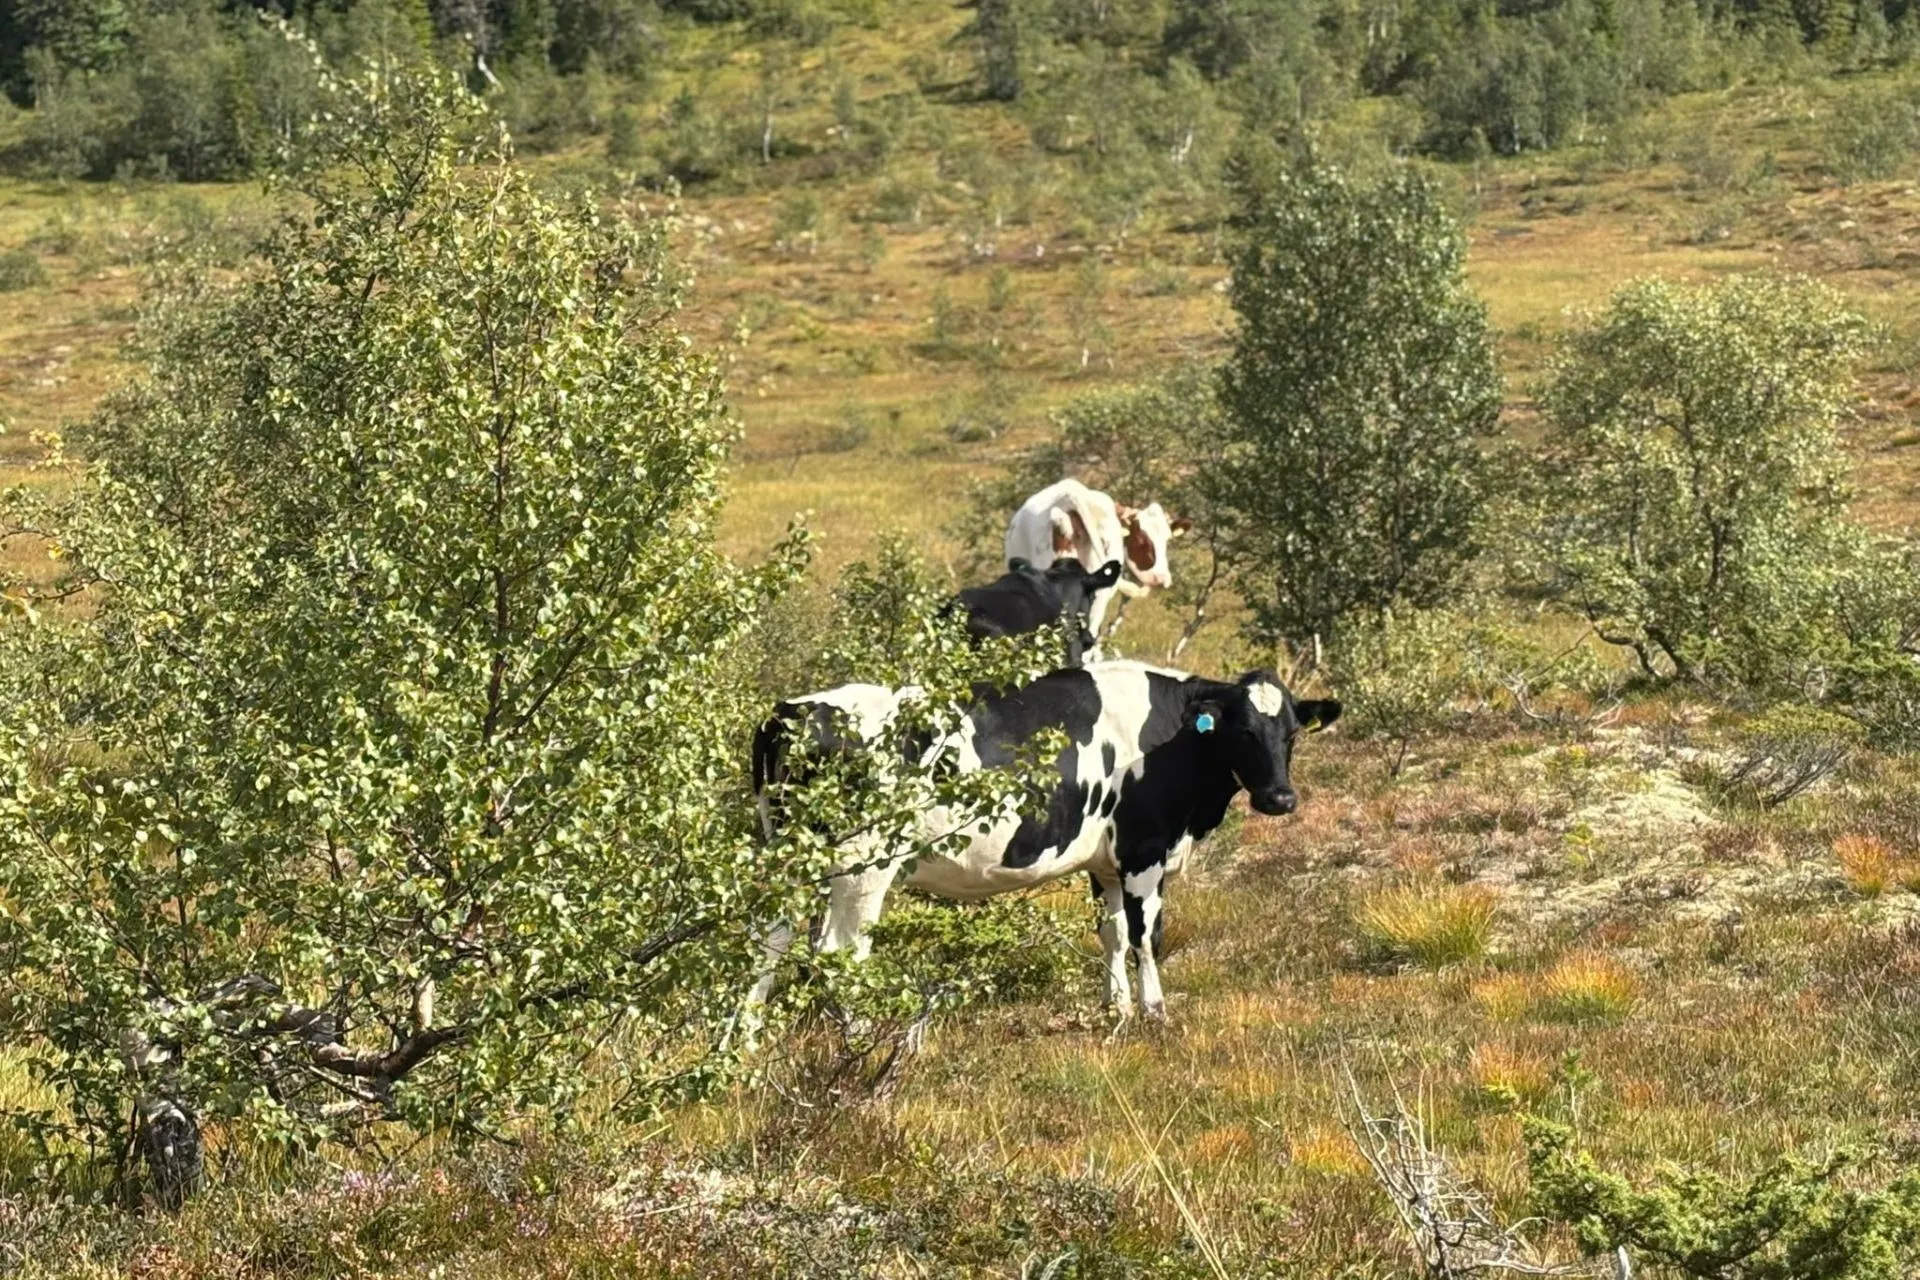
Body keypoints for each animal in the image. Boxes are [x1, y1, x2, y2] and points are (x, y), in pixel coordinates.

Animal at [751, 661, 1340, 1019]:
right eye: (1242, 731)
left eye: (1291, 733)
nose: (1280, 799)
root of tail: (792, 708)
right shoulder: (1144, 851)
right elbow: (1147, 935)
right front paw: (1155, 1012)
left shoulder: (1104, 862)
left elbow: (1112, 934)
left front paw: (1117, 1010)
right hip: (862, 864)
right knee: (839, 951)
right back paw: (851, 1035)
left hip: (789, 859)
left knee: (770, 941)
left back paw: (750, 1037)